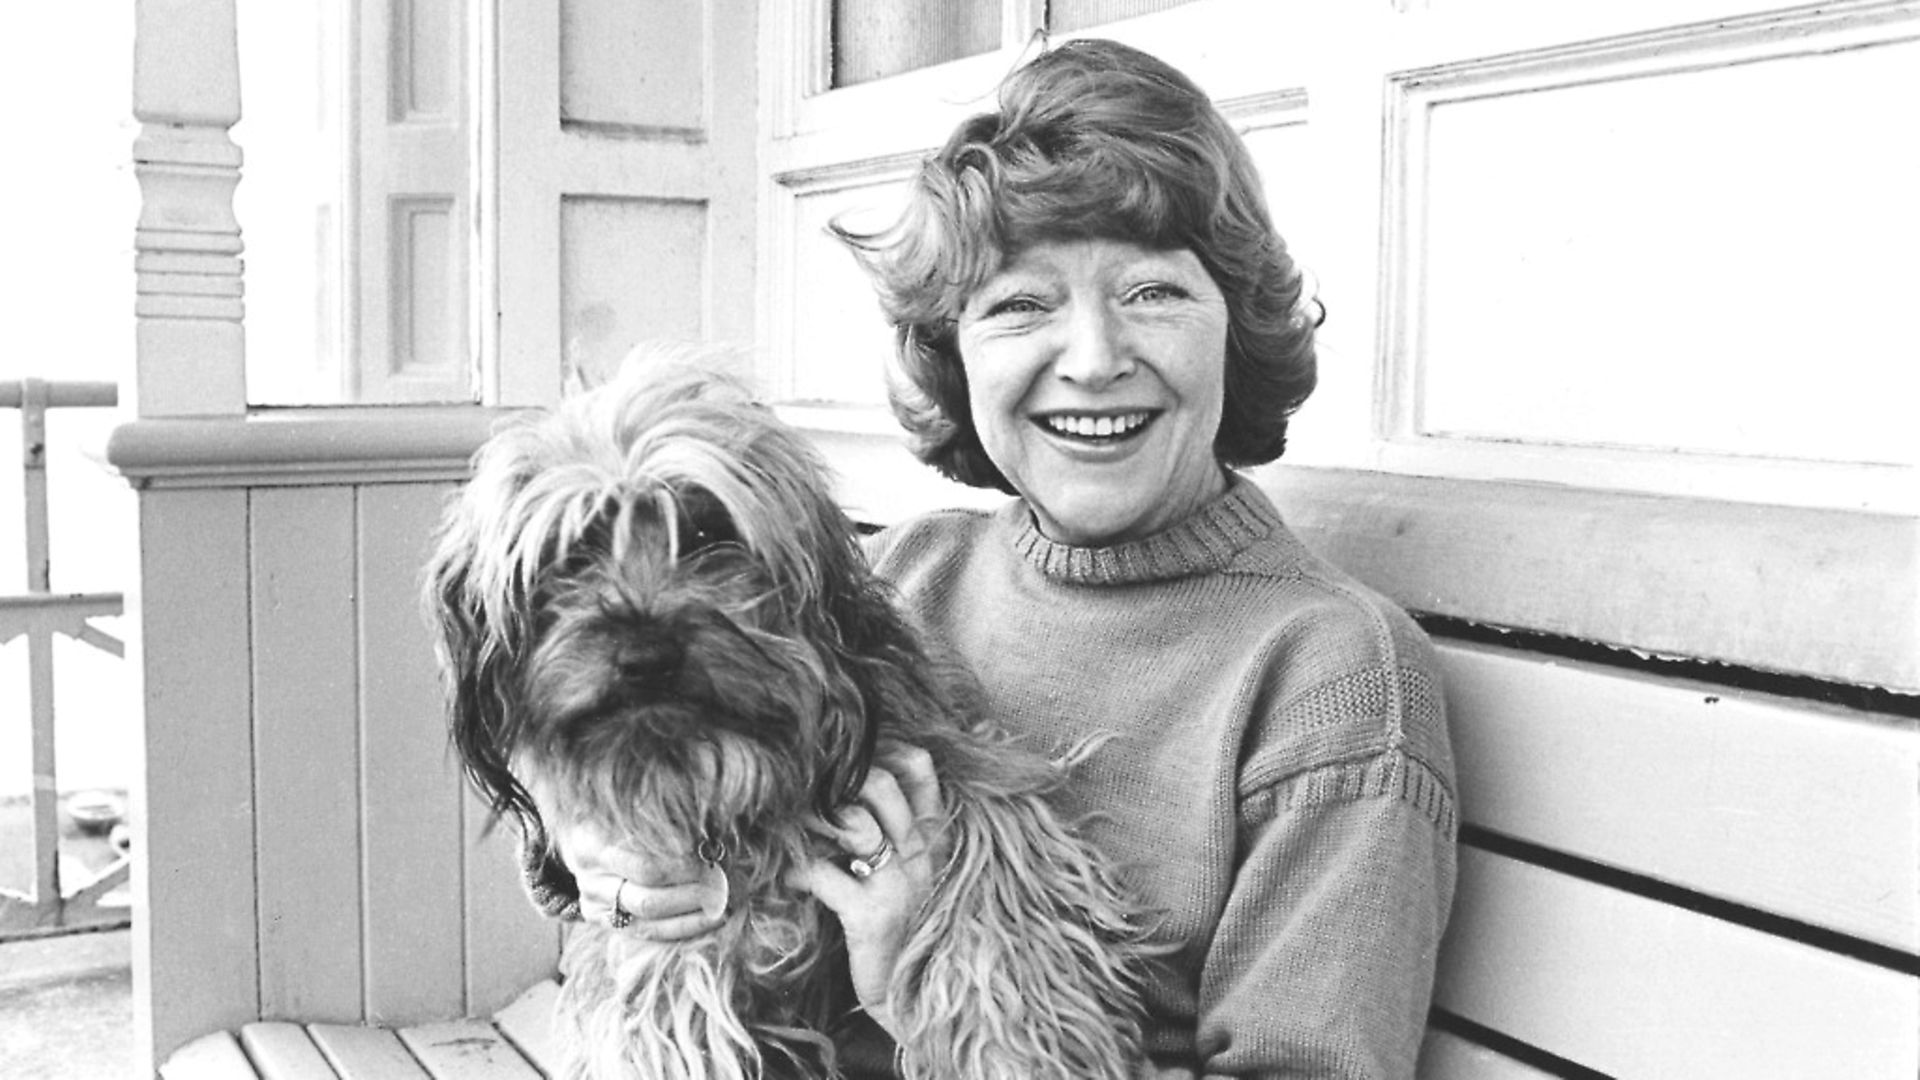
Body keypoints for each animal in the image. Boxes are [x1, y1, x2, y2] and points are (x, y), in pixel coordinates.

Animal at [428, 355, 1152, 1076]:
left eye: (707, 531)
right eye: (573, 552)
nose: (644, 657)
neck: (732, 766)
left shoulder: (962, 765)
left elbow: (994, 893)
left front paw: (1019, 1047)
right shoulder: (674, 926)